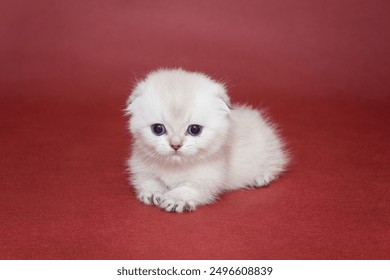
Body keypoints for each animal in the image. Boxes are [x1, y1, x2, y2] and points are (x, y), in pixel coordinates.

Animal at [126, 69, 288, 213]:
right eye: (158, 129)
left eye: (194, 129)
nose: (175, 145)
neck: (175, 166)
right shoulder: (141, 168)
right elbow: (149, 181)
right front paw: (153, 193)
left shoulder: (209, 178)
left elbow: (189, 188)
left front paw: (177, 199)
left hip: (267, 150)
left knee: (275, 163)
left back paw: (260, 178)